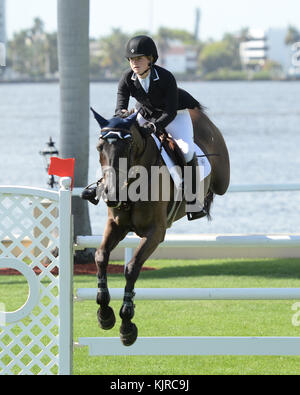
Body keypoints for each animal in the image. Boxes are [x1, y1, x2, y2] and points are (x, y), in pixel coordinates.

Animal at [90, 106, 229, 344]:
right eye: (100, 147)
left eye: (127, 147)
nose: (111, 194)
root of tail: (196, 112)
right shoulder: (116, 225)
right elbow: (101, 256)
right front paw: (104, 313)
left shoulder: (155, 232)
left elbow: (132, 268)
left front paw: (126, 323)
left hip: (222, 179)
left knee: (218, 184)